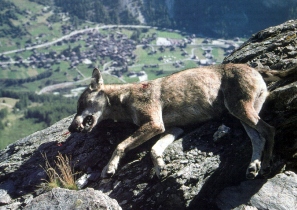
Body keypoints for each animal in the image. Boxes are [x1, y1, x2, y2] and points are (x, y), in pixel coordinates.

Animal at [69, 63, 276, 179]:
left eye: (80, 104)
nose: (71, 128)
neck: (124, 98)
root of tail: (255, 69)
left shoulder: (154, 124)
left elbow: (120, 145)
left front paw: (109, 168)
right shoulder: (173, 129)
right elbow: (154, 150)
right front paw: (160, 168)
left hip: (239, 110)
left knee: (269, 129)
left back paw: (265, 165)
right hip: (241, 115)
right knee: (258, 138)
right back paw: (253, 167)